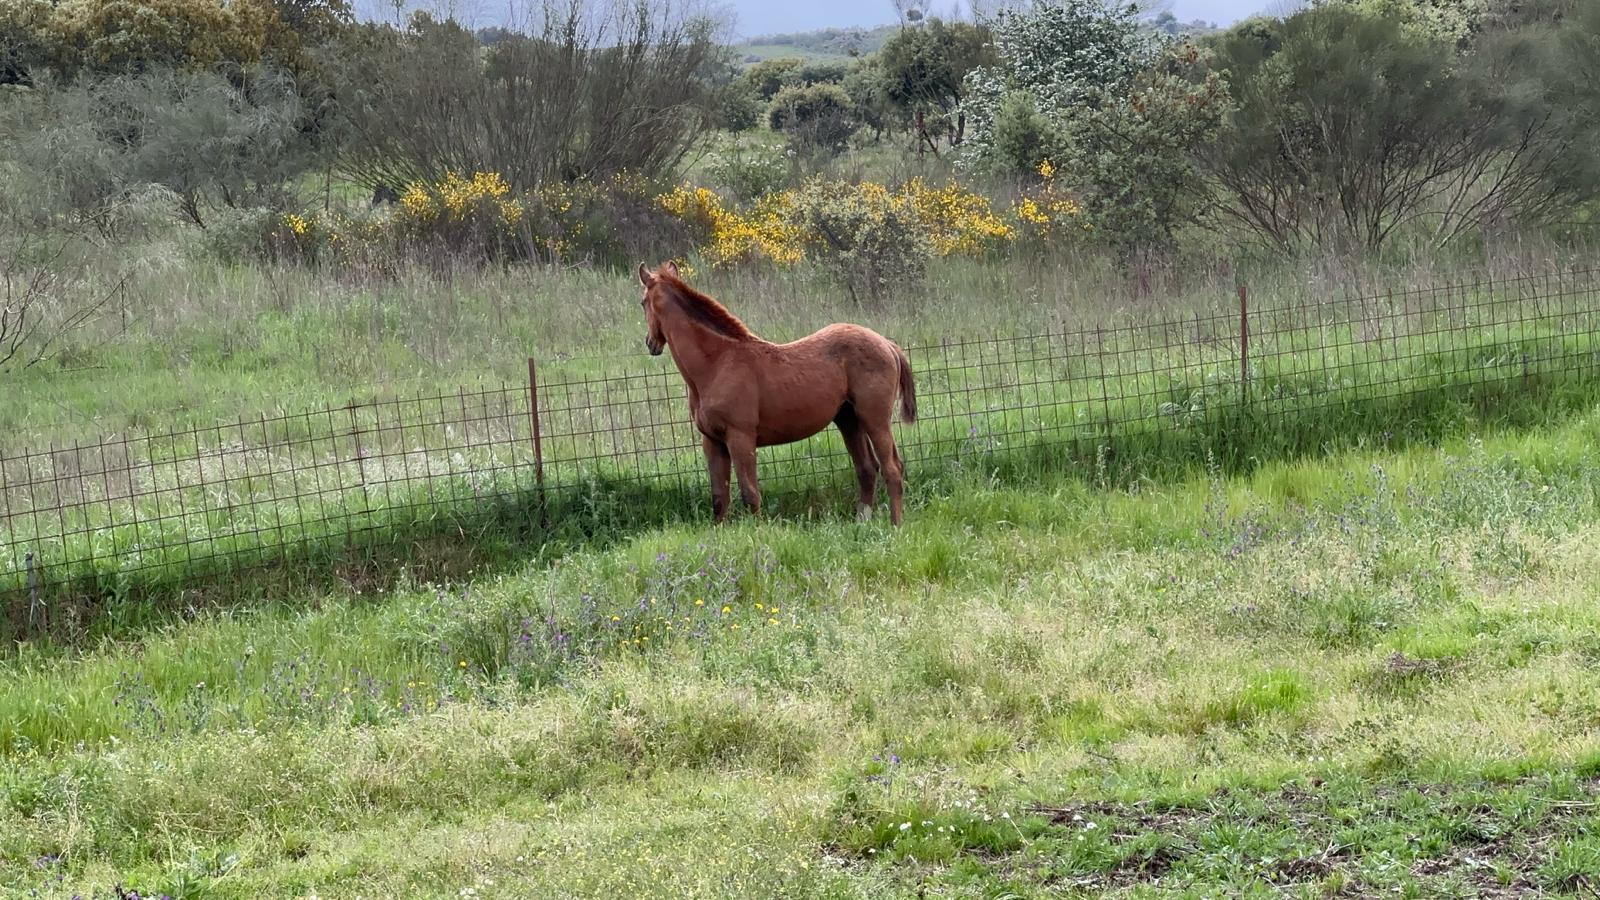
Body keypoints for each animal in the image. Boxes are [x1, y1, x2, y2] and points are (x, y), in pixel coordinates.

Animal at [636, 261, 918, 525]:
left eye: (642, 302)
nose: (650, 343)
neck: (717, 363)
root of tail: (887, 344)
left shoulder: (740, 438)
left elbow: (750, 494)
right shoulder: (713, 441)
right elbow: (719, 498)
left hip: (874, 418)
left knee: (892, 468)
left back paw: (895, 525)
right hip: (849, 419)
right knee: (867, 469)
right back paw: (862, 522)